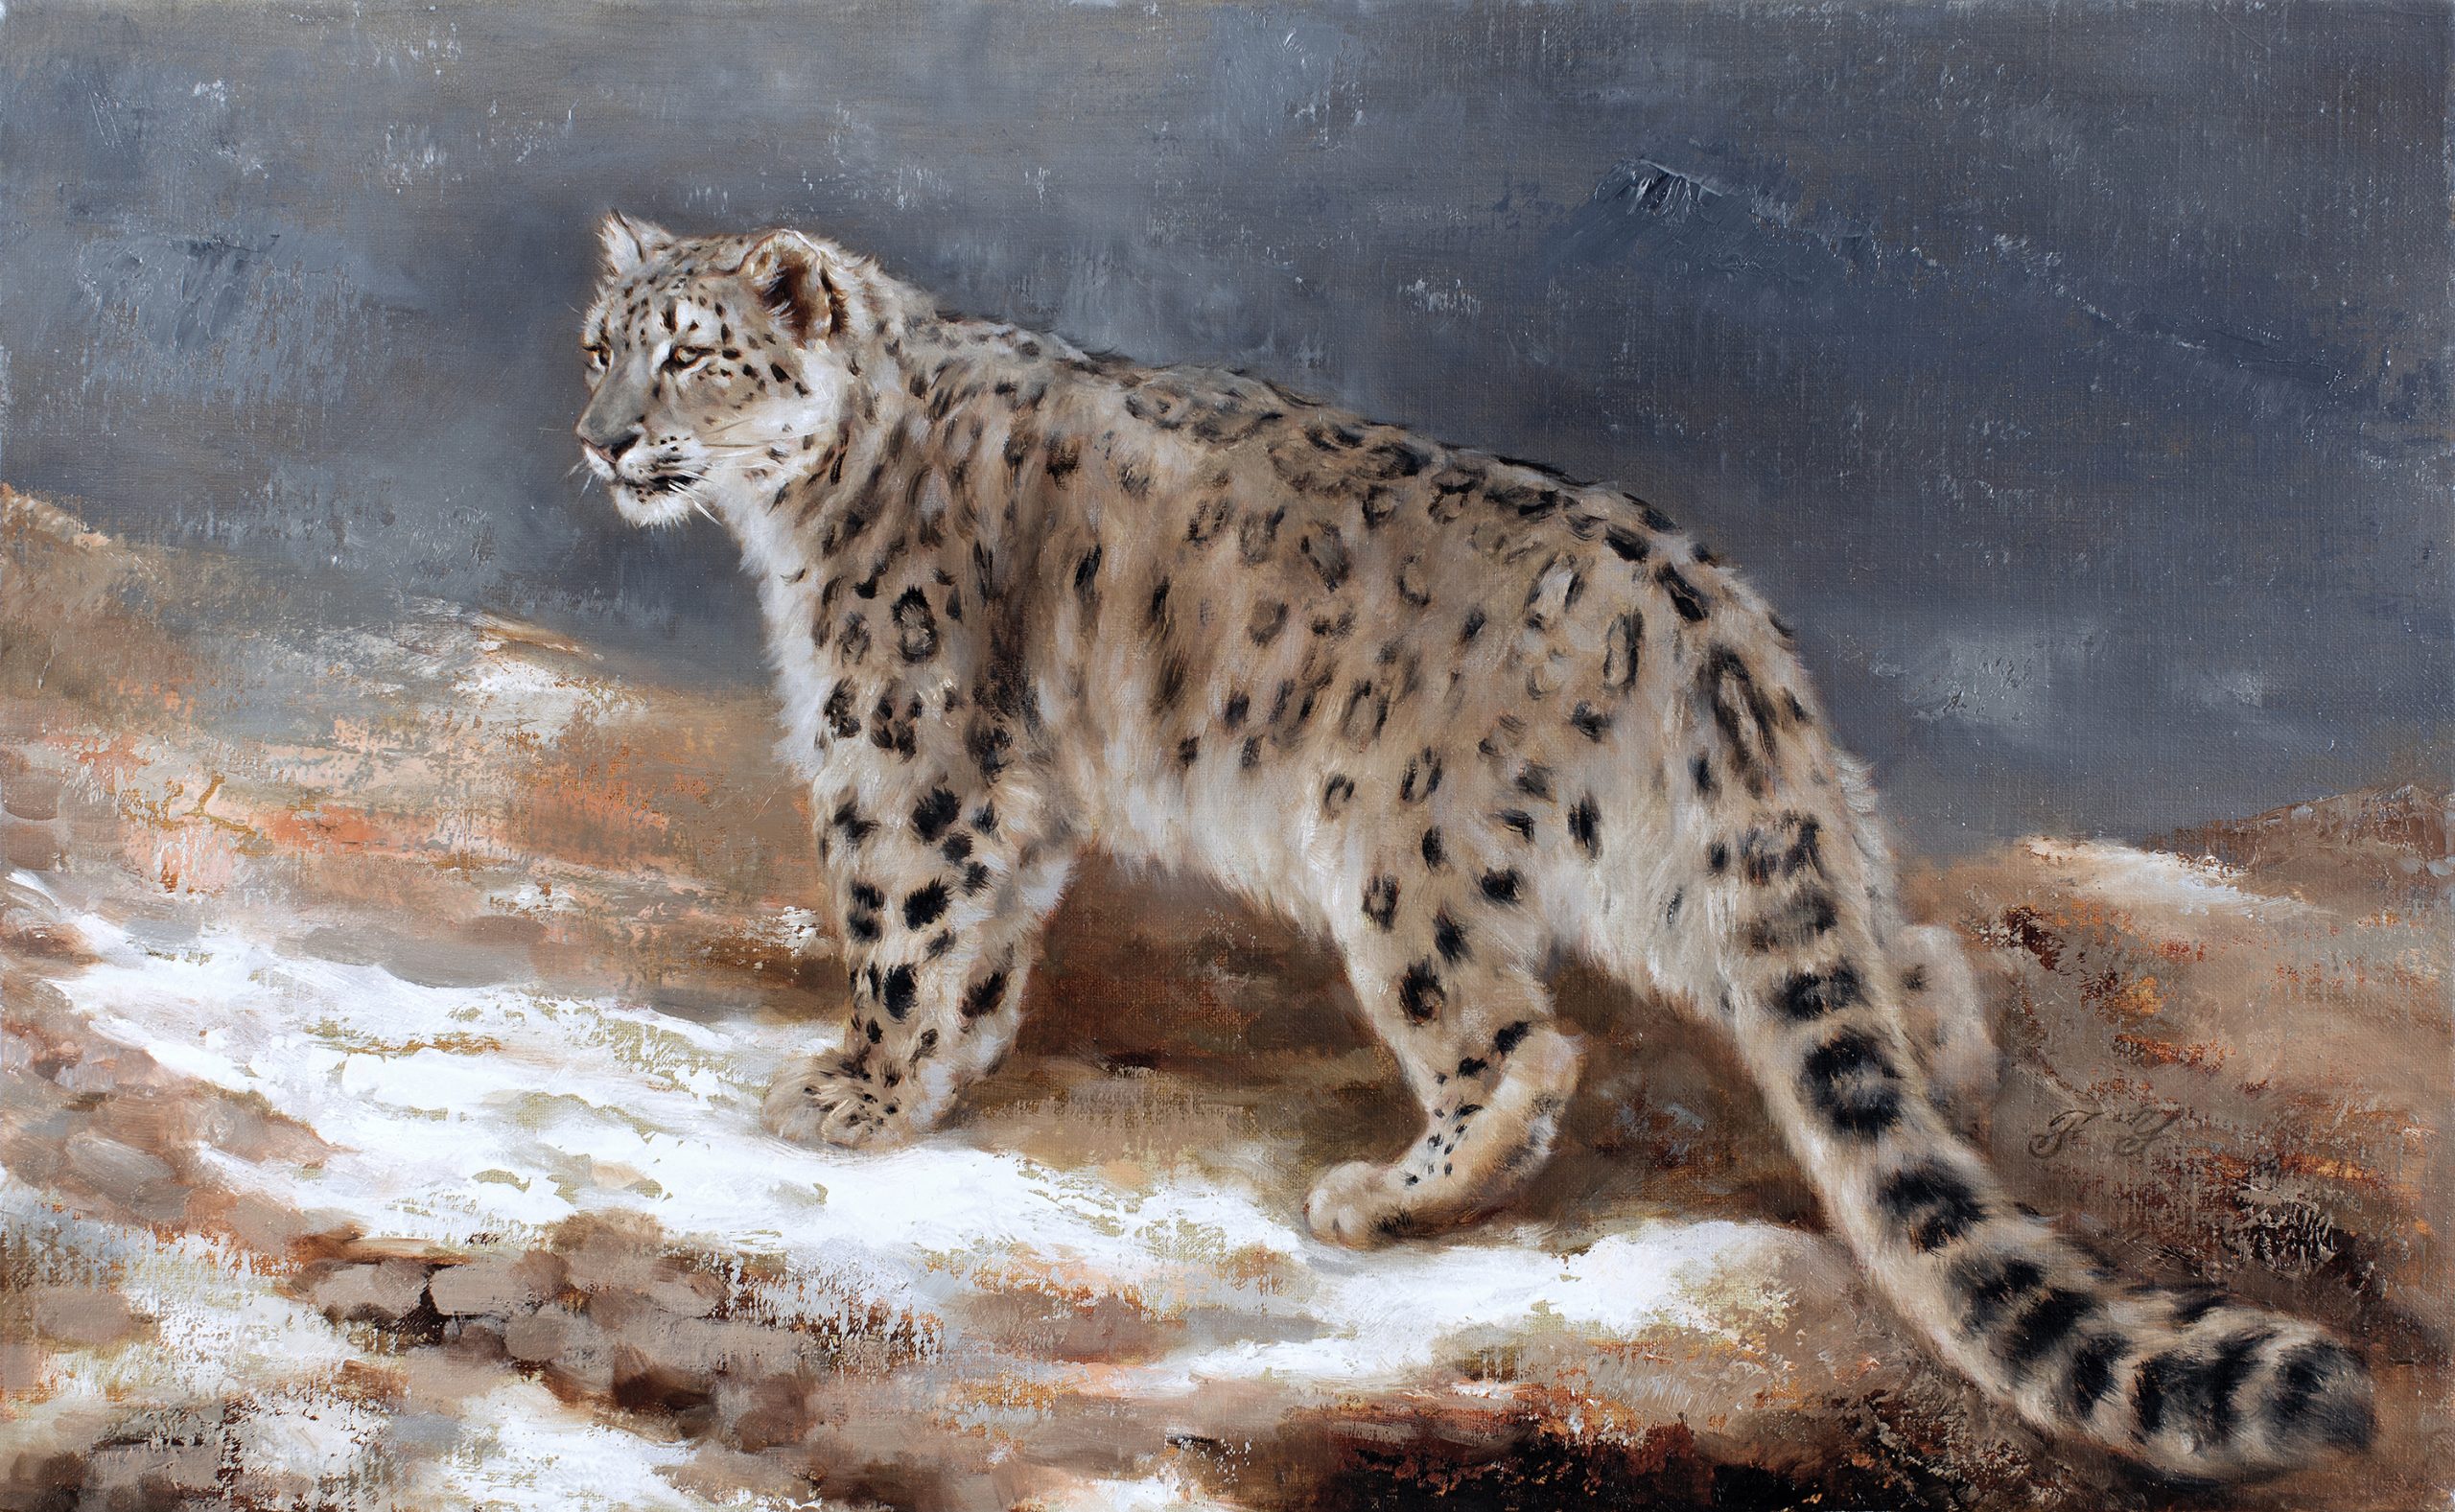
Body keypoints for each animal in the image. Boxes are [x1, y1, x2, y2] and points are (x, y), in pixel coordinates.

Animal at [572, 211, 2374, 1481]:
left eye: (698, 355)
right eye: (598, 345)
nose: (599, 438)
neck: (795, 520)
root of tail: (1709, 613)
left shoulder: (906, 739)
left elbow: (903, 921)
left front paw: (857, 1092)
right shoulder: (1004, 783)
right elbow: (987, 939)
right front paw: (933, 1081)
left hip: (1403, 851)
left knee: (1518, 1045)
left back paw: (1385, 1196)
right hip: (1684, 871)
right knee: (1894, 954)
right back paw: (1952, 1078)